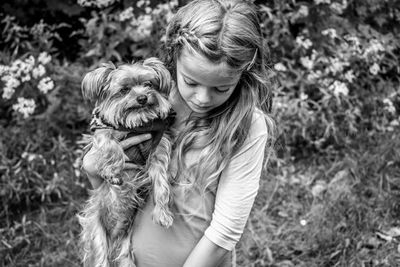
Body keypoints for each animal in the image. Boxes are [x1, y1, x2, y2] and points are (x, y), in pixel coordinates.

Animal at [79, 58, 176, 267]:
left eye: (148, 84)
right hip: (96, 233)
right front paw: (113, 173)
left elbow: (161, 184)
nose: (142, 98)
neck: (136, 125)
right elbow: (112, 147)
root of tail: (115, 235)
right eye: (124, 90)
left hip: (125, 246)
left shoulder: (158, 149)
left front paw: (162, 213)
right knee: (101, 258)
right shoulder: (102, 130)